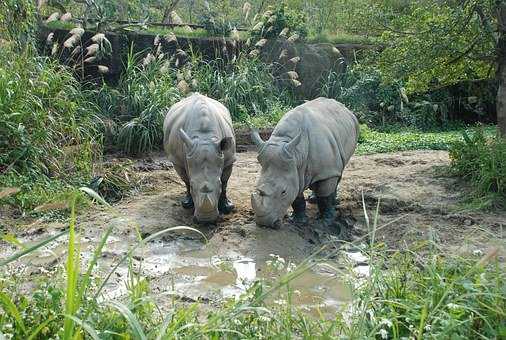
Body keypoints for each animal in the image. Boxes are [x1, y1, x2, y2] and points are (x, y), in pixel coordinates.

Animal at [163, 93, 236, 223]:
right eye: (193, 186)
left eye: (218, 185)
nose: (206, 220)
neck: (205, 137)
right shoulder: (180, 158)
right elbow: (186, 179)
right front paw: (188, 204)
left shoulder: (229, 159)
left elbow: (225, 182)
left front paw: (227, 206)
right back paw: (187, 203)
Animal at [251, 98, 358, 230]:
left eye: (283, 192)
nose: (264, 223)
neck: (297, 155)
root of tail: (345, 109)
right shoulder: (294, 170)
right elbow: (297, 197)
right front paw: (298, 221)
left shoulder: (324, 169)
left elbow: (325, 197)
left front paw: (325, 222)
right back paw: (313, 199)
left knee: (337, 172)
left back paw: (333, 202)